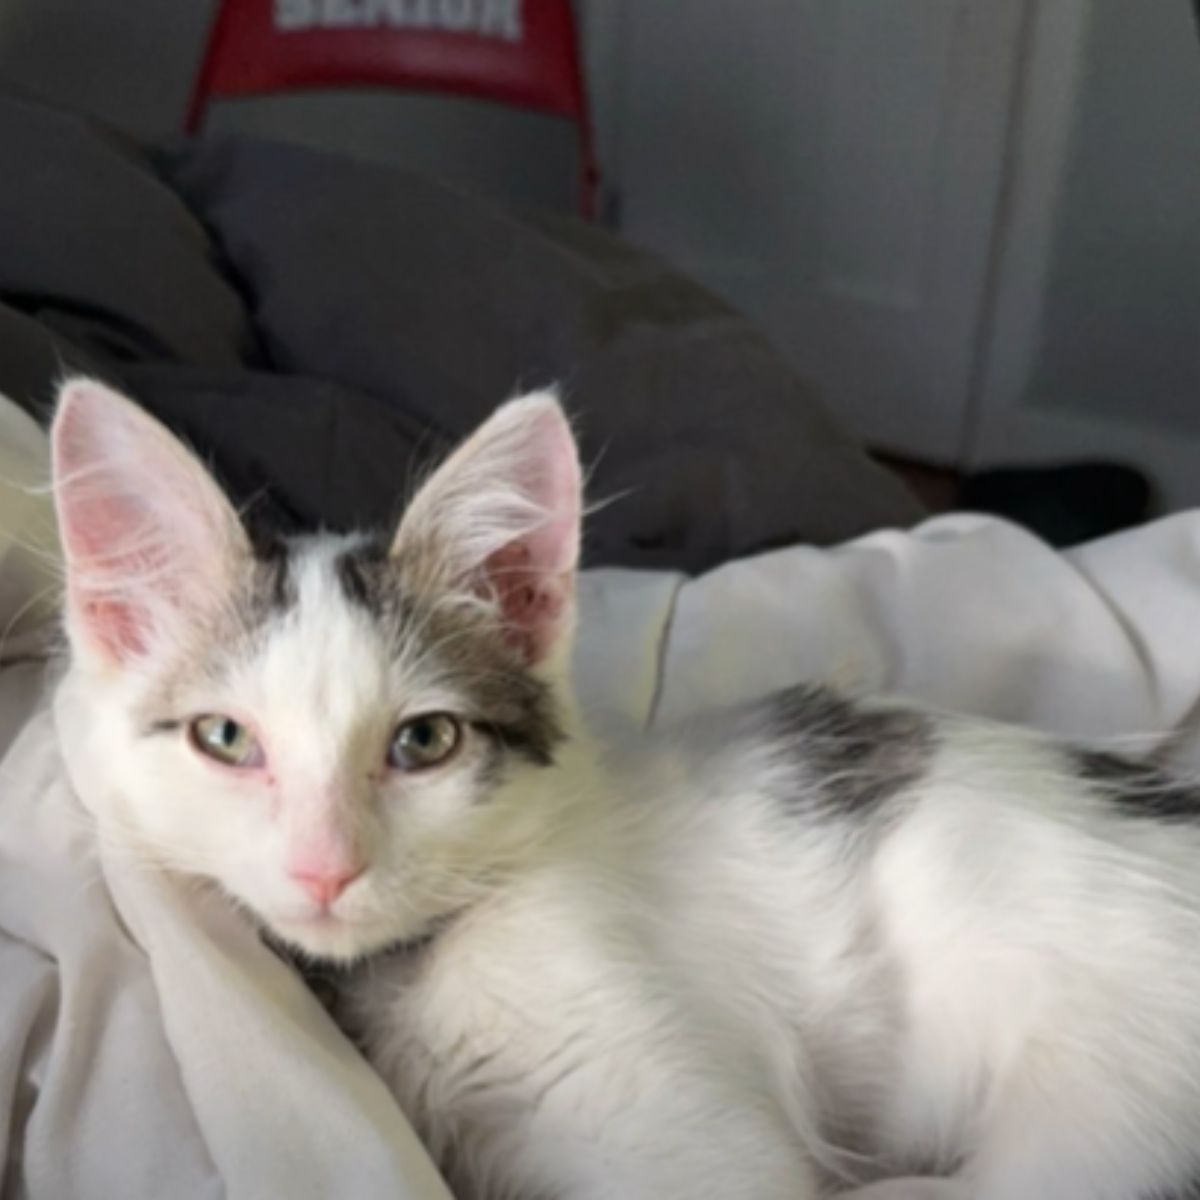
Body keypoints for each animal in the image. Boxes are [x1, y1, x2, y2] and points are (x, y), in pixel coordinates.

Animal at [51, 376, 1200, 1200]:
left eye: (424, 740)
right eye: (225, 738)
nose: (326, 868)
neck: (422, 962)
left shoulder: (703, 1148)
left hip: (1093, 1118)